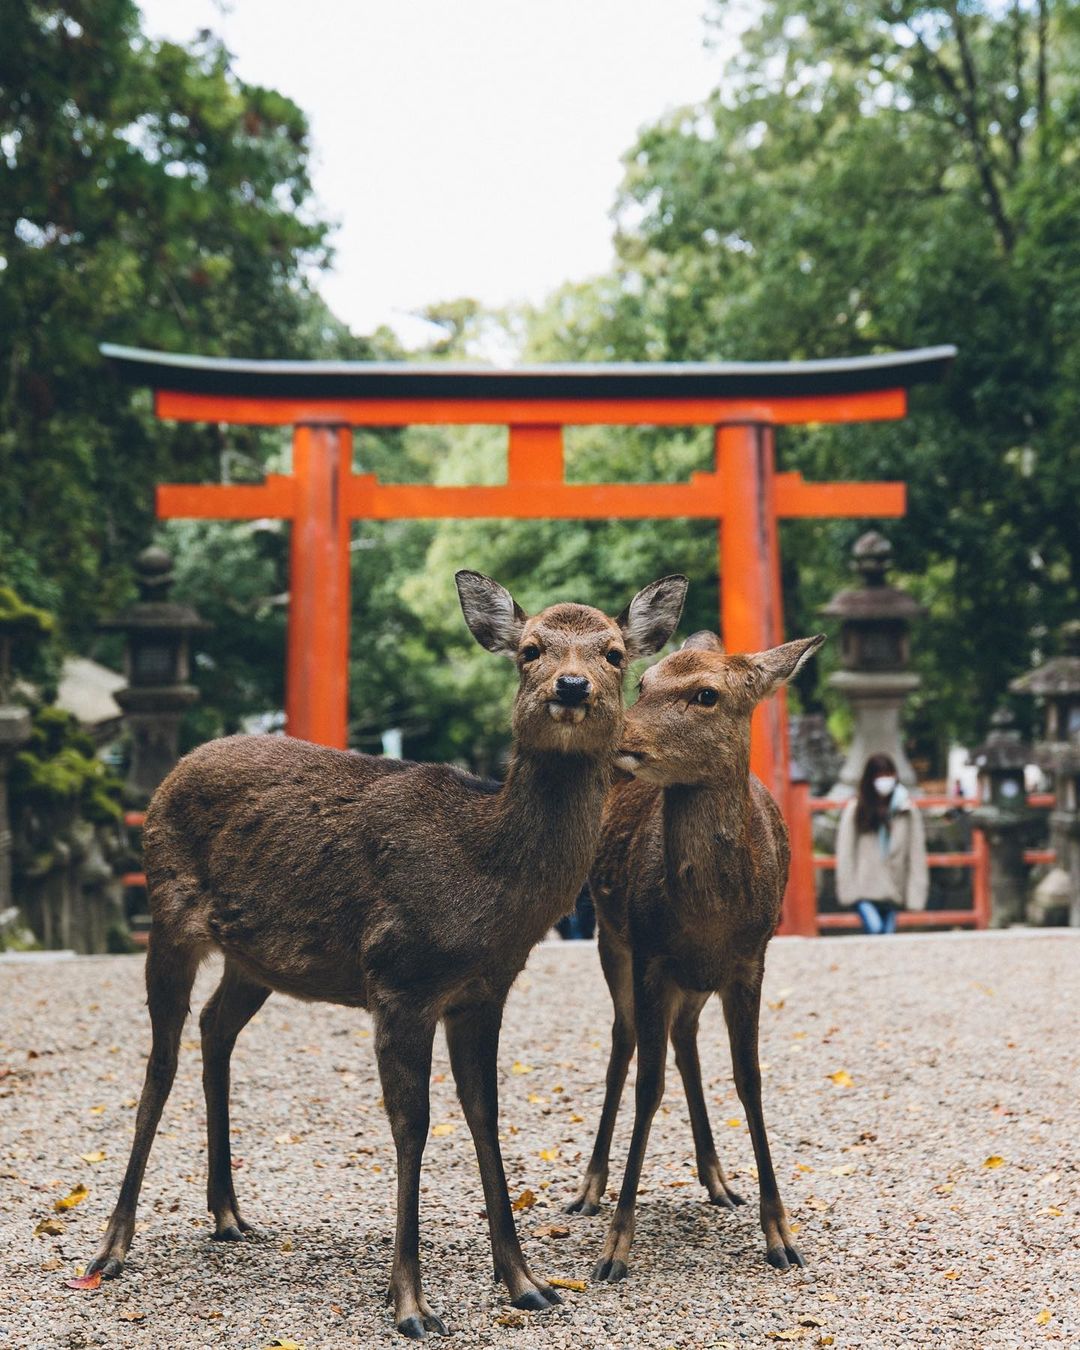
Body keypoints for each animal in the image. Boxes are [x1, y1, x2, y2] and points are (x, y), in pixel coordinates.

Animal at [88, 569, 688, 1339]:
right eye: (530, 648)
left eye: (615, 652)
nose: (573, 685)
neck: (485, 884)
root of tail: (176, 769)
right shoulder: (399, 978)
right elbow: (413, 1124)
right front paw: (411, 1303)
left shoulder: (484, 991)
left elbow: (485, 1114)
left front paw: (527, 1283)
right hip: (168, 915)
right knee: (159, 1061)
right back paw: (112, 1246)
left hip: (254, 958)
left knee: (215, 1026)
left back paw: (228, 1214)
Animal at [564, 626, 826, 1279]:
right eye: (645, 681)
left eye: (707, 694)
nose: (617, 735)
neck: (709, 917)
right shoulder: (651, 956)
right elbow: (647, 1085)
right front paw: (615, 1247)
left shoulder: (751, 960)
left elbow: (749, 1080)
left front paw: (781, 1234)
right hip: (611, 941)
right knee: (625, 1042)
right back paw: (589, 1188)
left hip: (695, 982)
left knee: (685, 1041)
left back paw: (718, 1178)